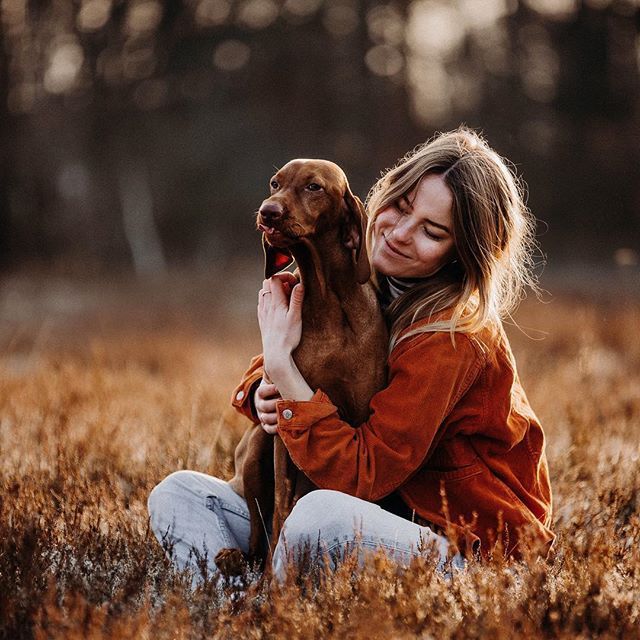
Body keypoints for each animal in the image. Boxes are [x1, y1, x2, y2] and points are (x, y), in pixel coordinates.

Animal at [216, 160, 384, 576]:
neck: (328, 305)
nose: (267, 212)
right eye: (274, 183)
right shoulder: (282, 430)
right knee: (258, 534)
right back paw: (239, 559)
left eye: (314, 187)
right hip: (257, 444)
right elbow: (280, 509)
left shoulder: (360, 418)